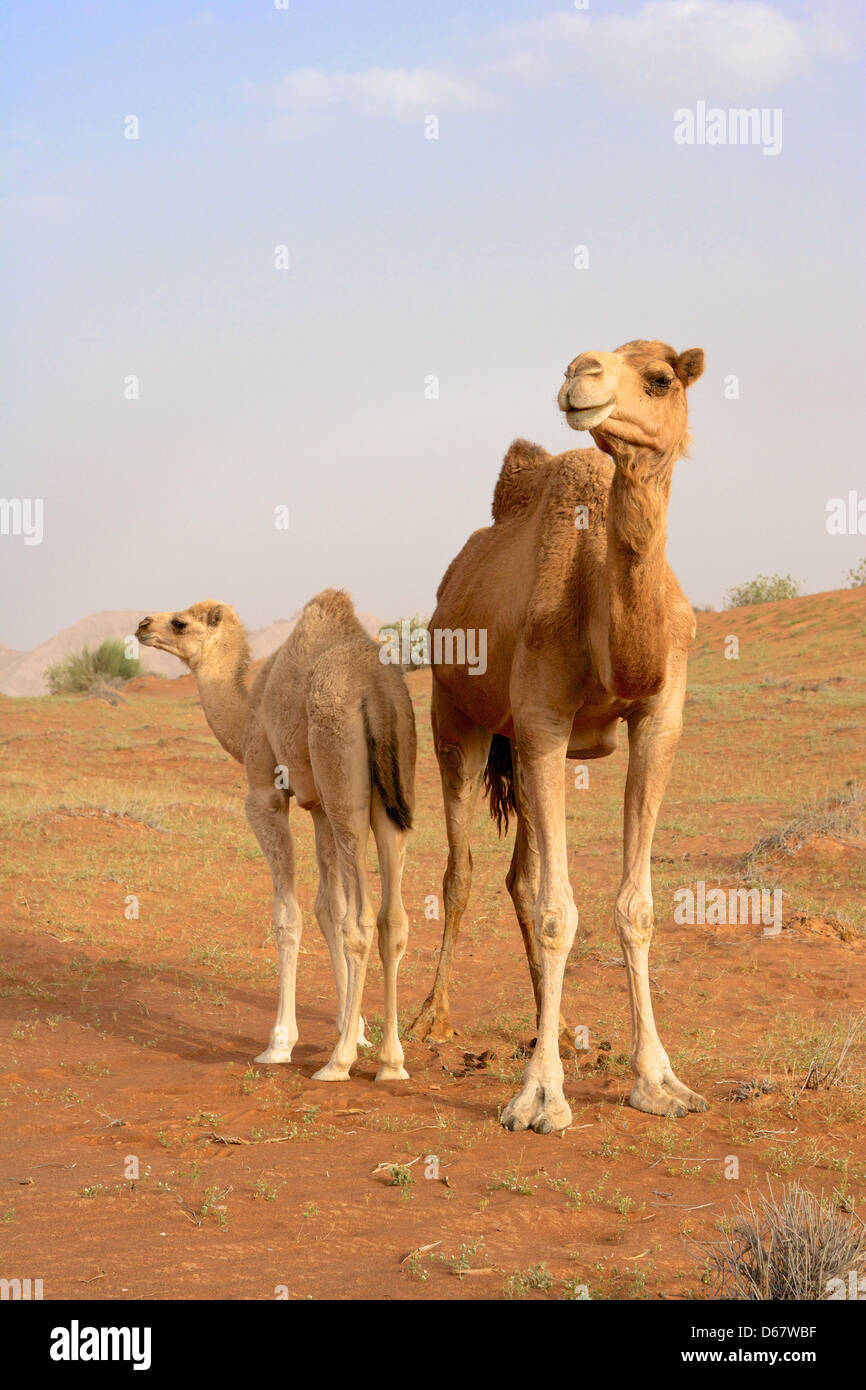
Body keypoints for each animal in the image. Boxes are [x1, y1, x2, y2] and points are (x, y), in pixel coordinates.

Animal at [136, 592, 419, 1078]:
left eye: (180, 623)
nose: (142, 625)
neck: (246, 716)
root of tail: (376, 688)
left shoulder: (267, 794)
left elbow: (290, 915)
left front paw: (280, 1043)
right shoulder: (318, 807)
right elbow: (329, 909)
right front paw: (355, 1027)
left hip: (342, 781)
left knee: (364, 919)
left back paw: (337, 1064)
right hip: (391, 796)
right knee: (392, 919)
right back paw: (391, 1062)